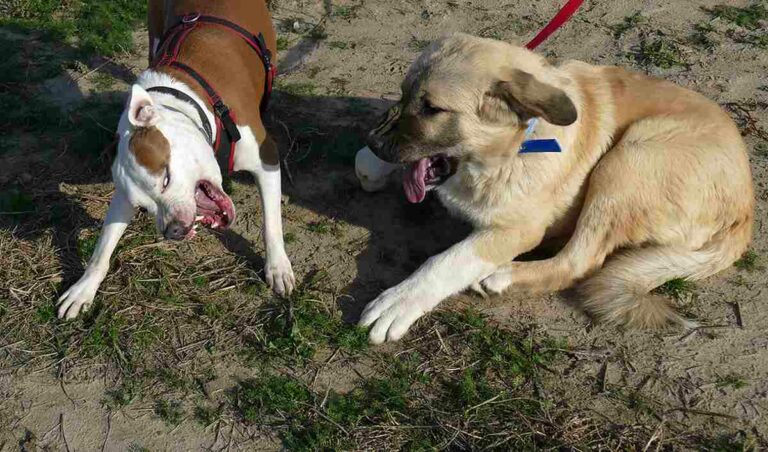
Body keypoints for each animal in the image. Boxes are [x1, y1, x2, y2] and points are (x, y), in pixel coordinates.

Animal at [358, 33, 752, 344]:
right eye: (402, 94)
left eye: (432, 109)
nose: (374, 142)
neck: (514, 147)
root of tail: (746, 211)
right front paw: (372, 161)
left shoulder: (518, 230)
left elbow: (447, 260)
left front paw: (402, 299)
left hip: (629, 158)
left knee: (580, 261)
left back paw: (504, 276)